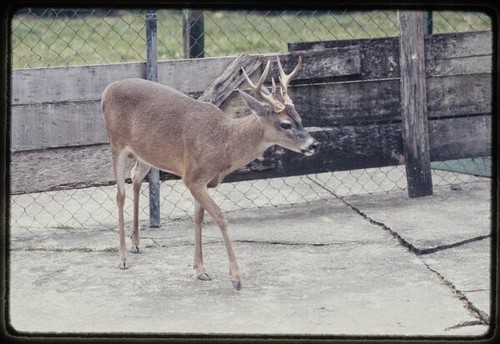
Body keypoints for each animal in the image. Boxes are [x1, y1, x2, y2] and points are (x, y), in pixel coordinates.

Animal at [102, 55, 320, 290]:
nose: (314, 144)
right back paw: (123, 258)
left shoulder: (202, 181)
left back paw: (136, 243)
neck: (224, 142)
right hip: (116, 142)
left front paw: (200, 270)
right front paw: (235, 278)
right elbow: (220, 217)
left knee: (136, 177)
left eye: (300, 118)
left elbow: (198, 218)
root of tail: (107, 89)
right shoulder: (192, 177)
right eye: (285, 124)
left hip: (147, 153)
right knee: (120, 194)